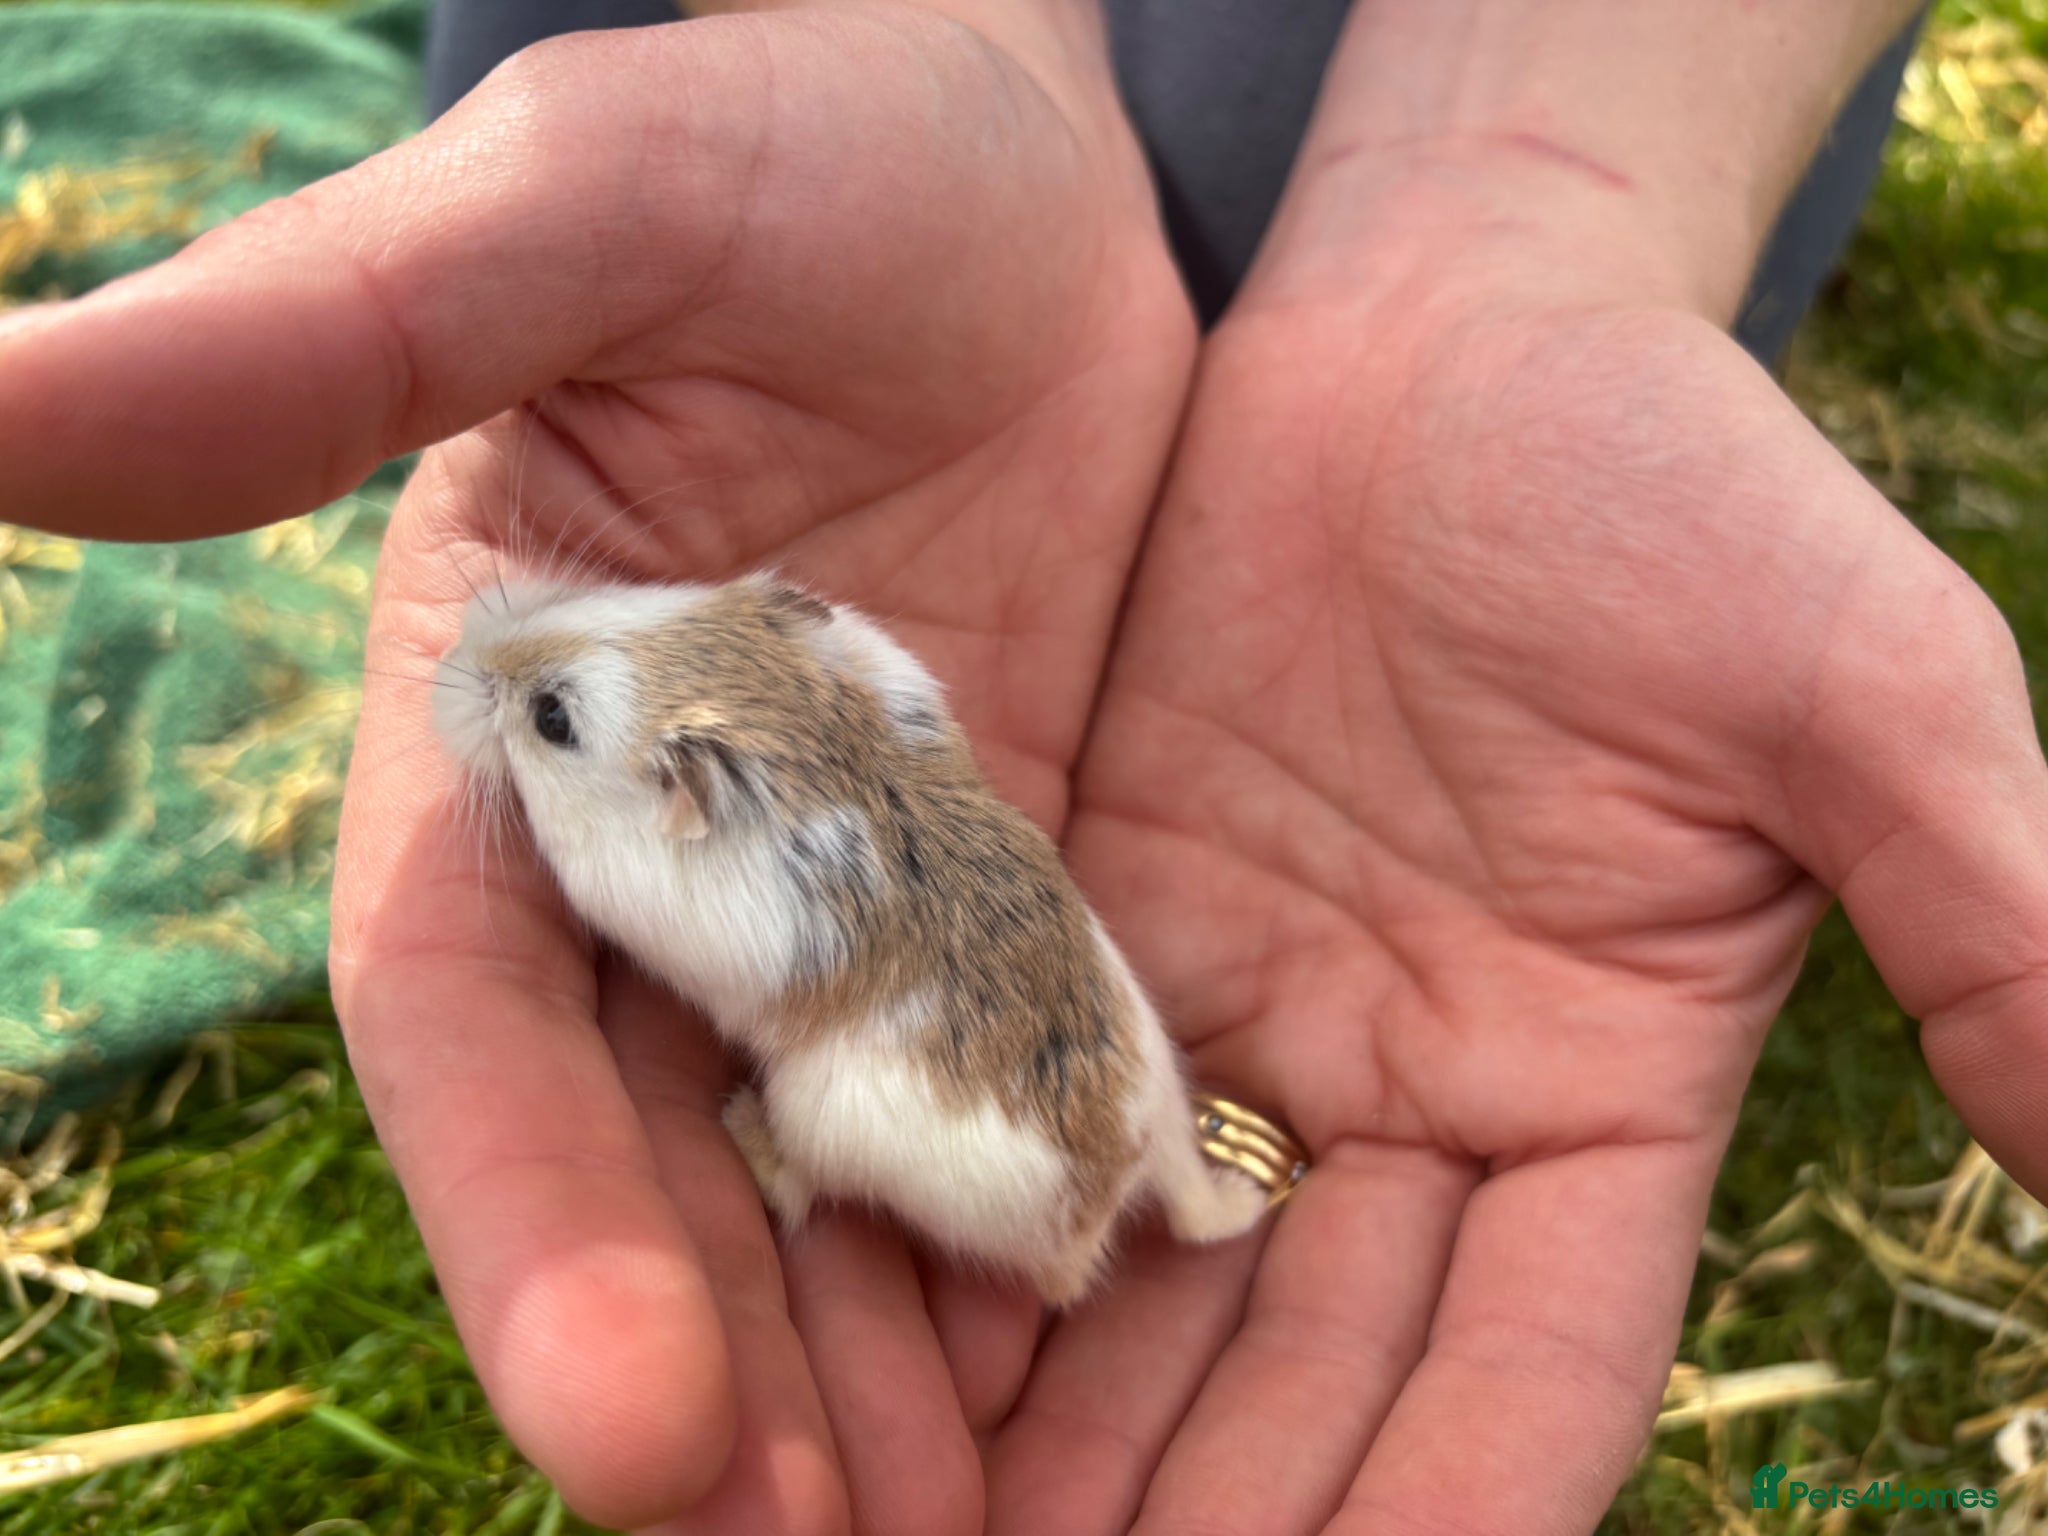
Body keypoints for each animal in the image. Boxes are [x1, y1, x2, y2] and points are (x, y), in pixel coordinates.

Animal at [431, 572, 1270, 1305]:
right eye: (624, 597)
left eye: (554, 720)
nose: (455, 658)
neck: (803, 729)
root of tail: (1117, 1187)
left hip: (818, 1117)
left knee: (806, 1187)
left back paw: (744, 1128)